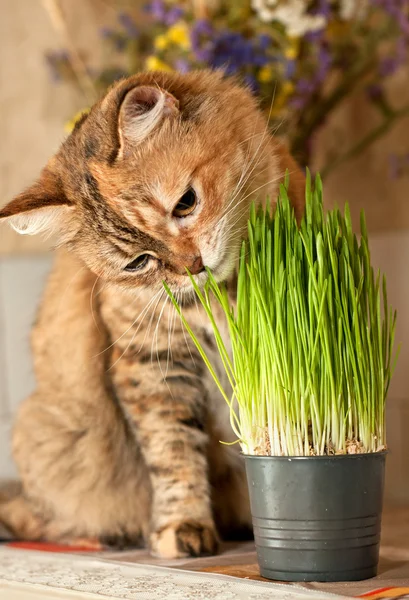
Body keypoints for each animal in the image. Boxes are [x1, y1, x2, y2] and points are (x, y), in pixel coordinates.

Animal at [0, 71, 302, 556]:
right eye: (138, 262)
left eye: (185, 203)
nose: (193, 267)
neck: (224, 296)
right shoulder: (154, 364)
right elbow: (173, 454)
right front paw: (184, 527)